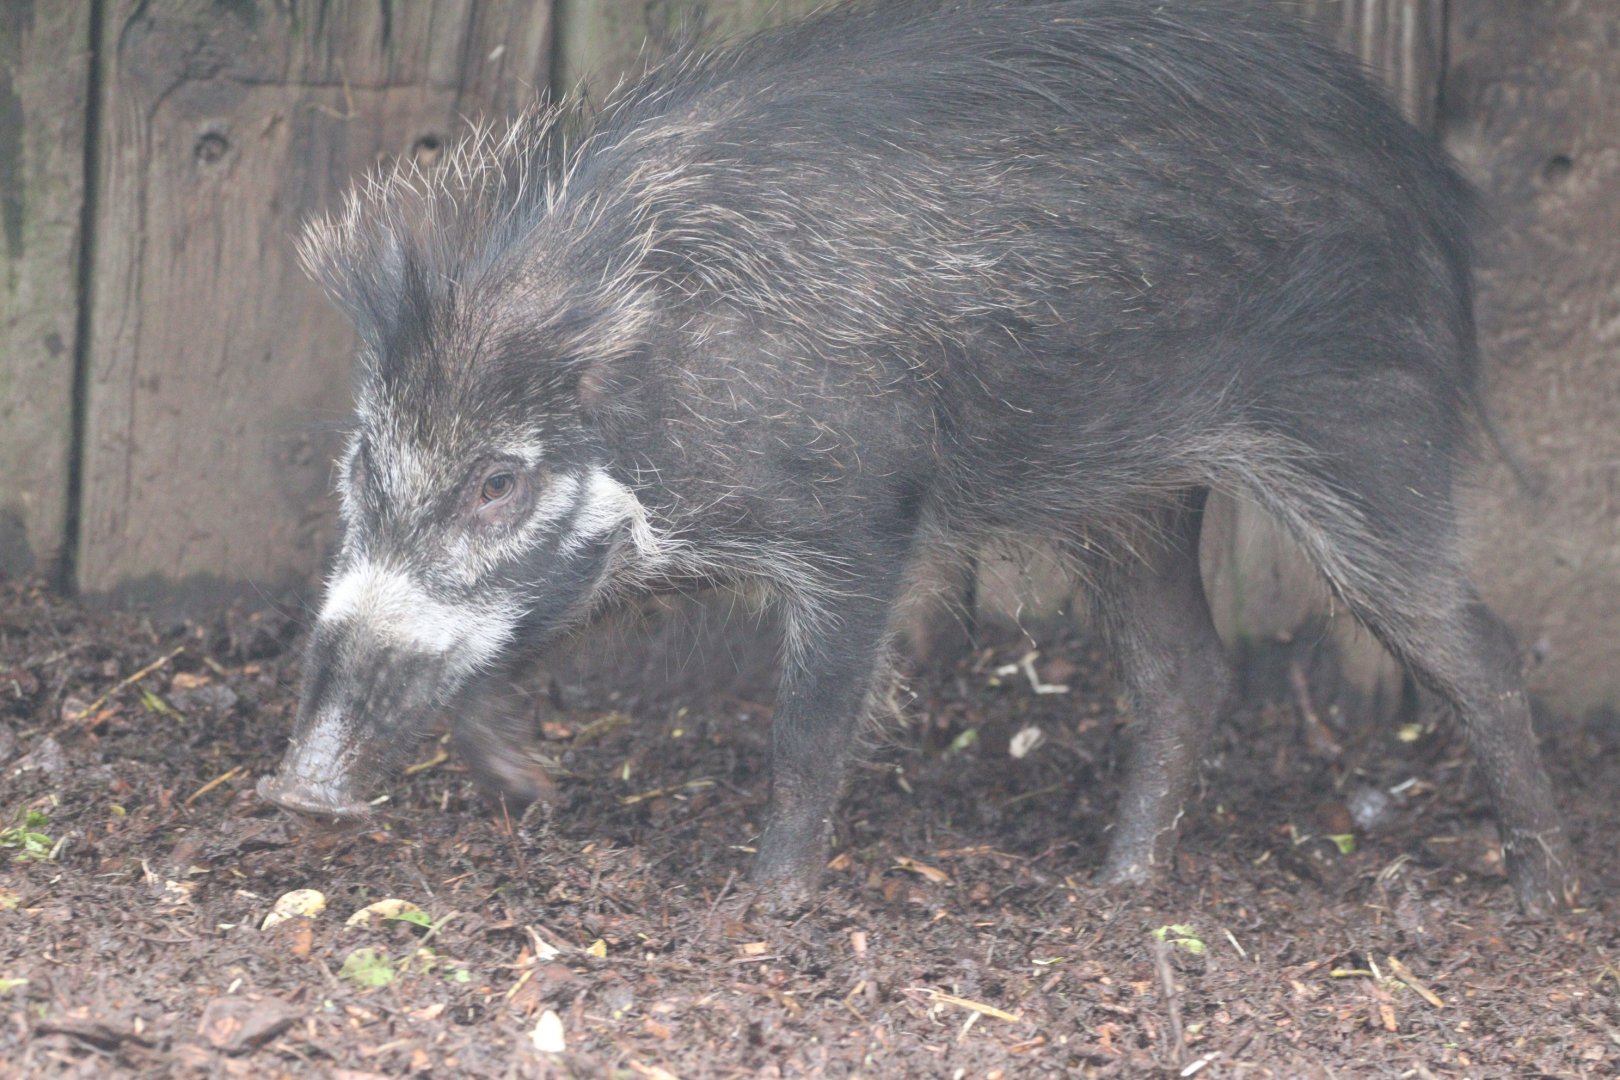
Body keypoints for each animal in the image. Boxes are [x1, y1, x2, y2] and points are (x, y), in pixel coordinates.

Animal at [258, 0, 1578, 915]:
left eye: (498, 481)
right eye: (363, 460)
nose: (301, 791)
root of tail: (1426, 175)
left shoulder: (861, 523)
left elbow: (810, 729)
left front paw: (765, 907)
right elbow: (524, 640)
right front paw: (533, 790)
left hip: (1363, 430)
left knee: (1475, 646)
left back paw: (1542, 897)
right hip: (1135, 495)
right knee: (1184, 673)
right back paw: (1114, 891)